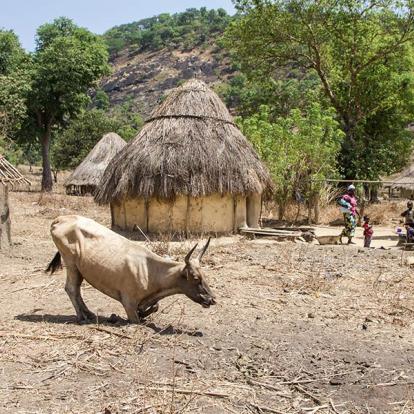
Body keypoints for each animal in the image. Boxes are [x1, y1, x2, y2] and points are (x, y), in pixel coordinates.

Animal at [46, 217, 217, 324]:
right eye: (195, 278)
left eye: (204, 276)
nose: (212, 299)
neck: (149, 271)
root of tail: (61, 218)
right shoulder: (128, 303)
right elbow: (137, 319)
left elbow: (155, 307)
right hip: (71, 264)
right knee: (71, 288)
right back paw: (82, 317)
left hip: (79, 269)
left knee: (77, 290)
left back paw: (89, 313)